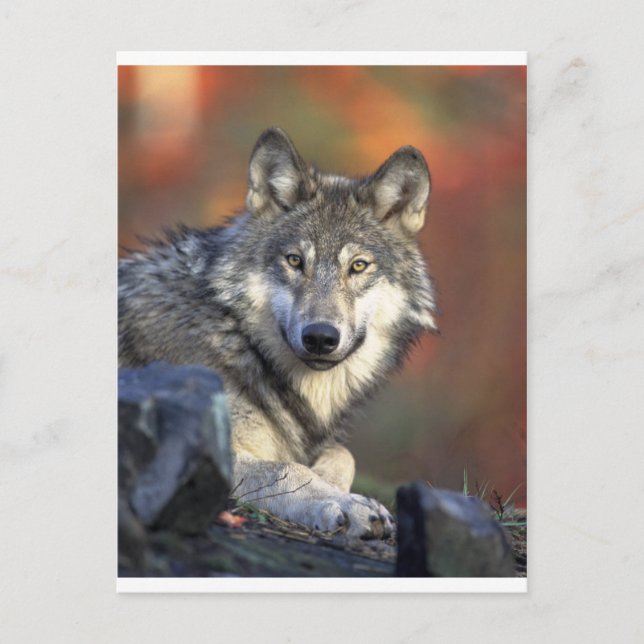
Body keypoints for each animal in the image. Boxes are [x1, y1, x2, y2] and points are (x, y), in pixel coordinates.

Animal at [119, 128, 438, 539]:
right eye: (295, 261)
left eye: (358, 266)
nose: (320, 337)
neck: (238, 339)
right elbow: (288, 468)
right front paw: (346, 504)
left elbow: (342, 454)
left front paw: (335, 487)